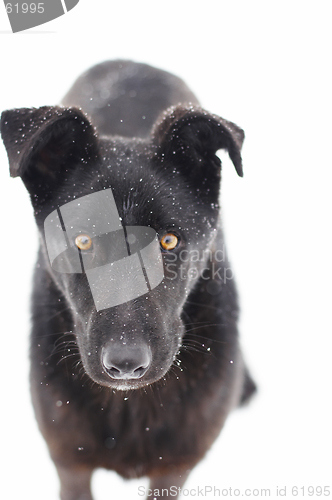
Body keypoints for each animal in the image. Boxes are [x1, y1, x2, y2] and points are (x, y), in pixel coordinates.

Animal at [0, 60, 255, 498]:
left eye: (169, 240)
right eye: (82, 241)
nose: (125, 364)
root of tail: (131, 63)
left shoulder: (174, 468)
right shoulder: (70, 464)